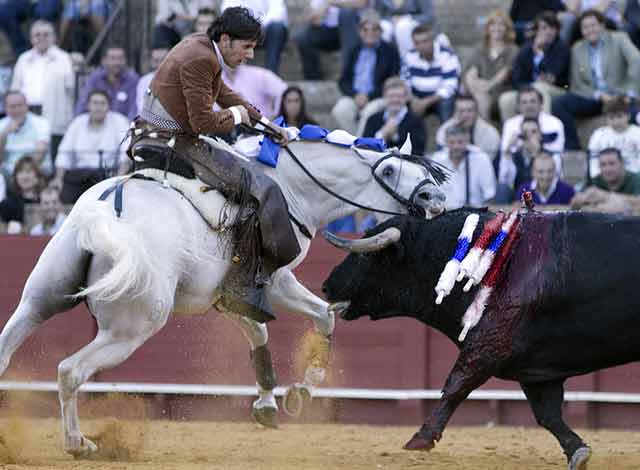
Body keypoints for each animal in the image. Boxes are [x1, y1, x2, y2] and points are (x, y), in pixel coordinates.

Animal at [0, 138, 444, 458]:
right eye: (388, 169)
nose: (435, 199)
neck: (292, 188)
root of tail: (104, 216)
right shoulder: (274, 281)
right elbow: (323, 317)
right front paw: (301, 392)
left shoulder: (227, 294)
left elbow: (260, 334)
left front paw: (267, 405)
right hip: (131, 329)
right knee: (70, 371)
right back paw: (78, 443)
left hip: (40, 298)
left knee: (8, 349)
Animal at [322, 210, 640, 470]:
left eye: (365, 255)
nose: (326, 286)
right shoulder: (535, 369)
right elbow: (547, 414)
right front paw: (578, 452)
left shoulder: (489, 345)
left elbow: (455, 385)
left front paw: (420, 439)